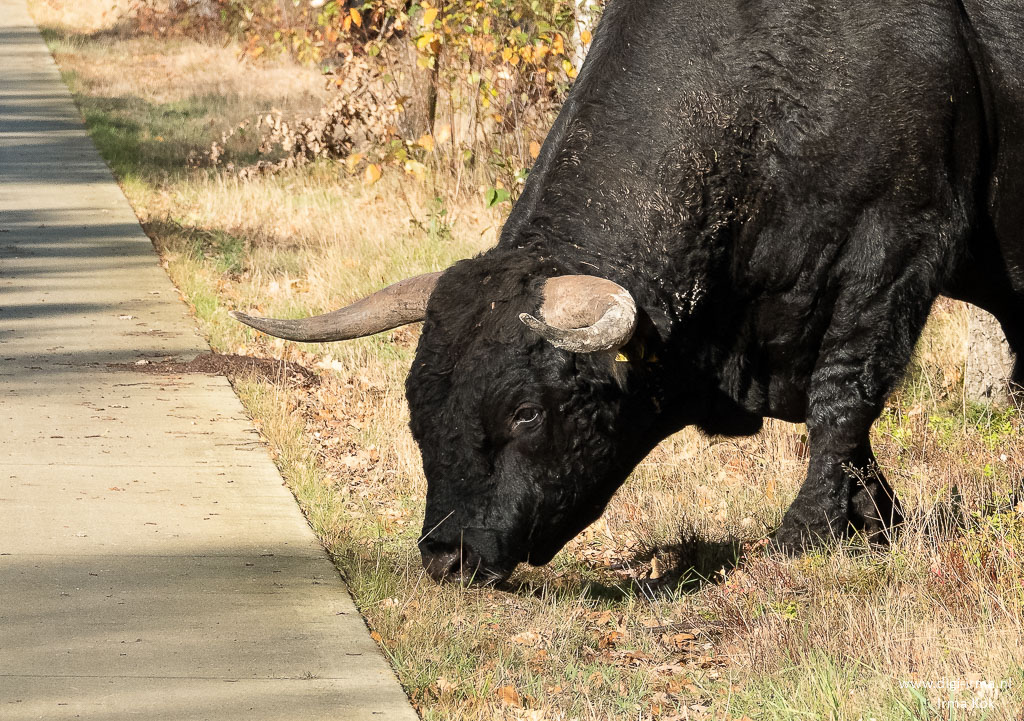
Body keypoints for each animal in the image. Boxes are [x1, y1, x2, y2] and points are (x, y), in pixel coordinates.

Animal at [232, 0, 1024, 585]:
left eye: (524, 411)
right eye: (416, 405)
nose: (444, 556)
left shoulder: (894, 249)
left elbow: (843, 398)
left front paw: (807, 533)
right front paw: (878, 518)